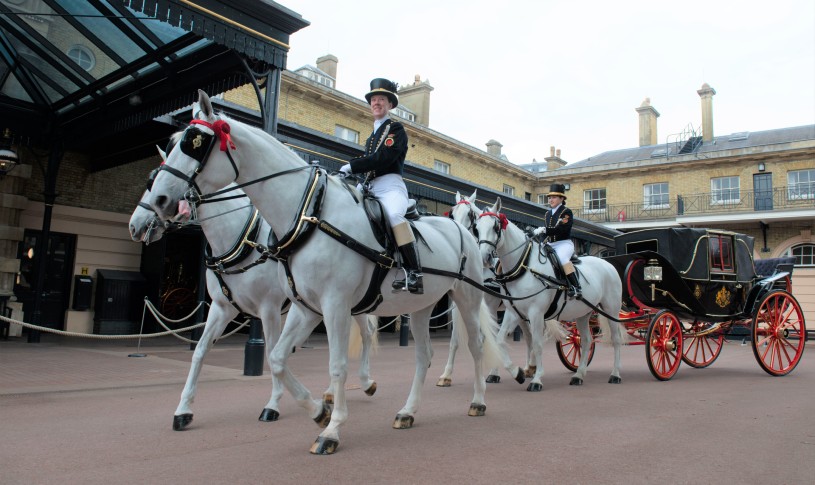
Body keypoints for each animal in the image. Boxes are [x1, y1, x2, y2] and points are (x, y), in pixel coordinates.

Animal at [130, 175, 380, 432]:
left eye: (155, 186)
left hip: (352, 303)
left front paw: (273, 404)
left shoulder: (269, 309)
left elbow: (269, 351)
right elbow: (200, 350)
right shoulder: (221, 309)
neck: (242, 240)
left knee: (367, 333)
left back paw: (365, 381)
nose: (135, 226)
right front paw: (183, 410)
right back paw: (331, 392)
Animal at [440, 191, 528, 388]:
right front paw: (446, 375)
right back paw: (529, 368)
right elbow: (454, 341)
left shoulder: (490, 307)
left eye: (470, 215)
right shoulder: (458, 307)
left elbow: (491, 338)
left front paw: (493, 373)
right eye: (452, 214)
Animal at [472, 197, 624, 390]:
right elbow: (499, 340)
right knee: (586, 340)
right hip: (583, 313)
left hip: (611, 310)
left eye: (495, 227)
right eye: (476, 228)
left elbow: (537, 344)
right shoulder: (514, 312)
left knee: (616, 339)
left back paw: (615, 374)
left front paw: (536, 379)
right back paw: (579, 375)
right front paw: (518, 373)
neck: (524, 266)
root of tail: (607, 263)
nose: (484, 258)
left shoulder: (536, 313)